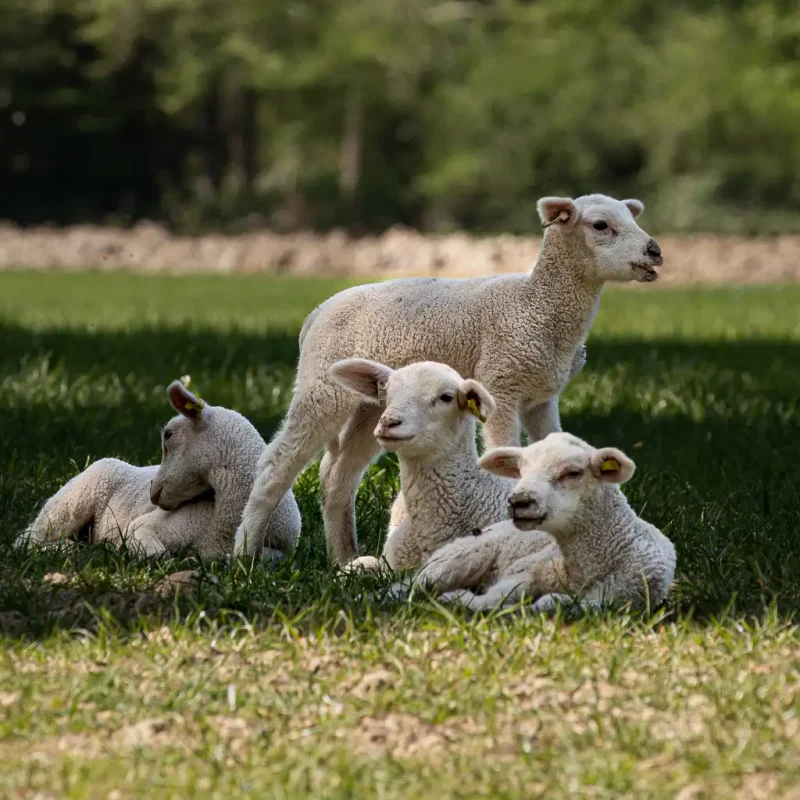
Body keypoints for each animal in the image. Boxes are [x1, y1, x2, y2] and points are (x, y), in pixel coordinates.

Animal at [18, 381, 301, 561]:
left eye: (168, 435)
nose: (152, 491)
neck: (224, 522)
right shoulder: (143, 527)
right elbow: (158, 556)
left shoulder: (278, 551)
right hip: (75, 496)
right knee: (27, 539)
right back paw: (71, 550)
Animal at [409, 433, 676, 614]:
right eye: (520, 470)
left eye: (573, 473)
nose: (519, 500)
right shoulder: (526, 572)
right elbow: (497, 597)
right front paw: (456, 599)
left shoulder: (613, 598)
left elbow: (551, 602)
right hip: (459, 556)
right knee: (418, 583)